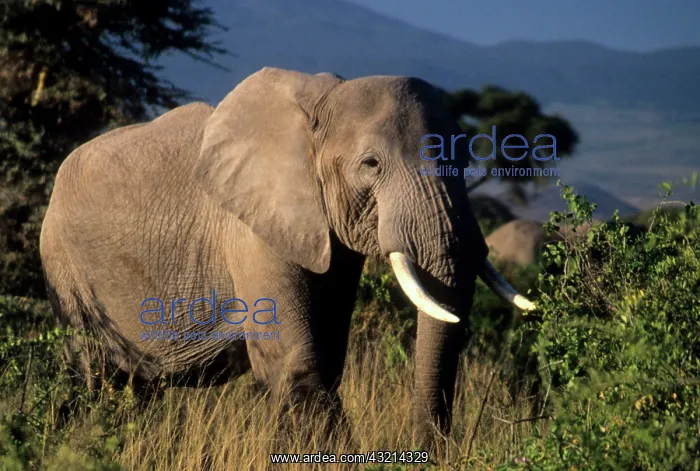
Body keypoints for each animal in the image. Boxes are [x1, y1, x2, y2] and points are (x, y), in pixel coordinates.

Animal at [39, 66, 535, 446]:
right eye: (371, 164)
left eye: (466, 158)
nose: (431, 451)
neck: (319, 104)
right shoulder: (250, 232)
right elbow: (295, 361)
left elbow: (328, 354)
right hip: (64, 269)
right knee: (94, 377)